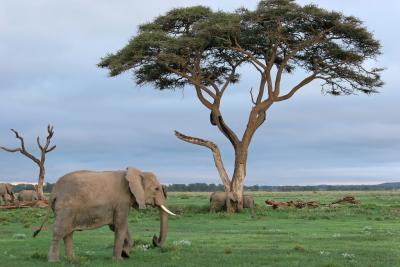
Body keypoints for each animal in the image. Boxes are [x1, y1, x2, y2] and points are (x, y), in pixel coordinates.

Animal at [33, 169, 177, 262]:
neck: (136, 172)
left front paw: (125, 254)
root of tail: (54, 191)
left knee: (68, 232)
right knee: (60, 231)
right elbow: (120, 225)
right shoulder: (122, 202)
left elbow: (116, 226)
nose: (155, 238)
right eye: (156, 189)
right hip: (66, 207)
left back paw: (72, 259)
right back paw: (54, 261)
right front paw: (118, 260)